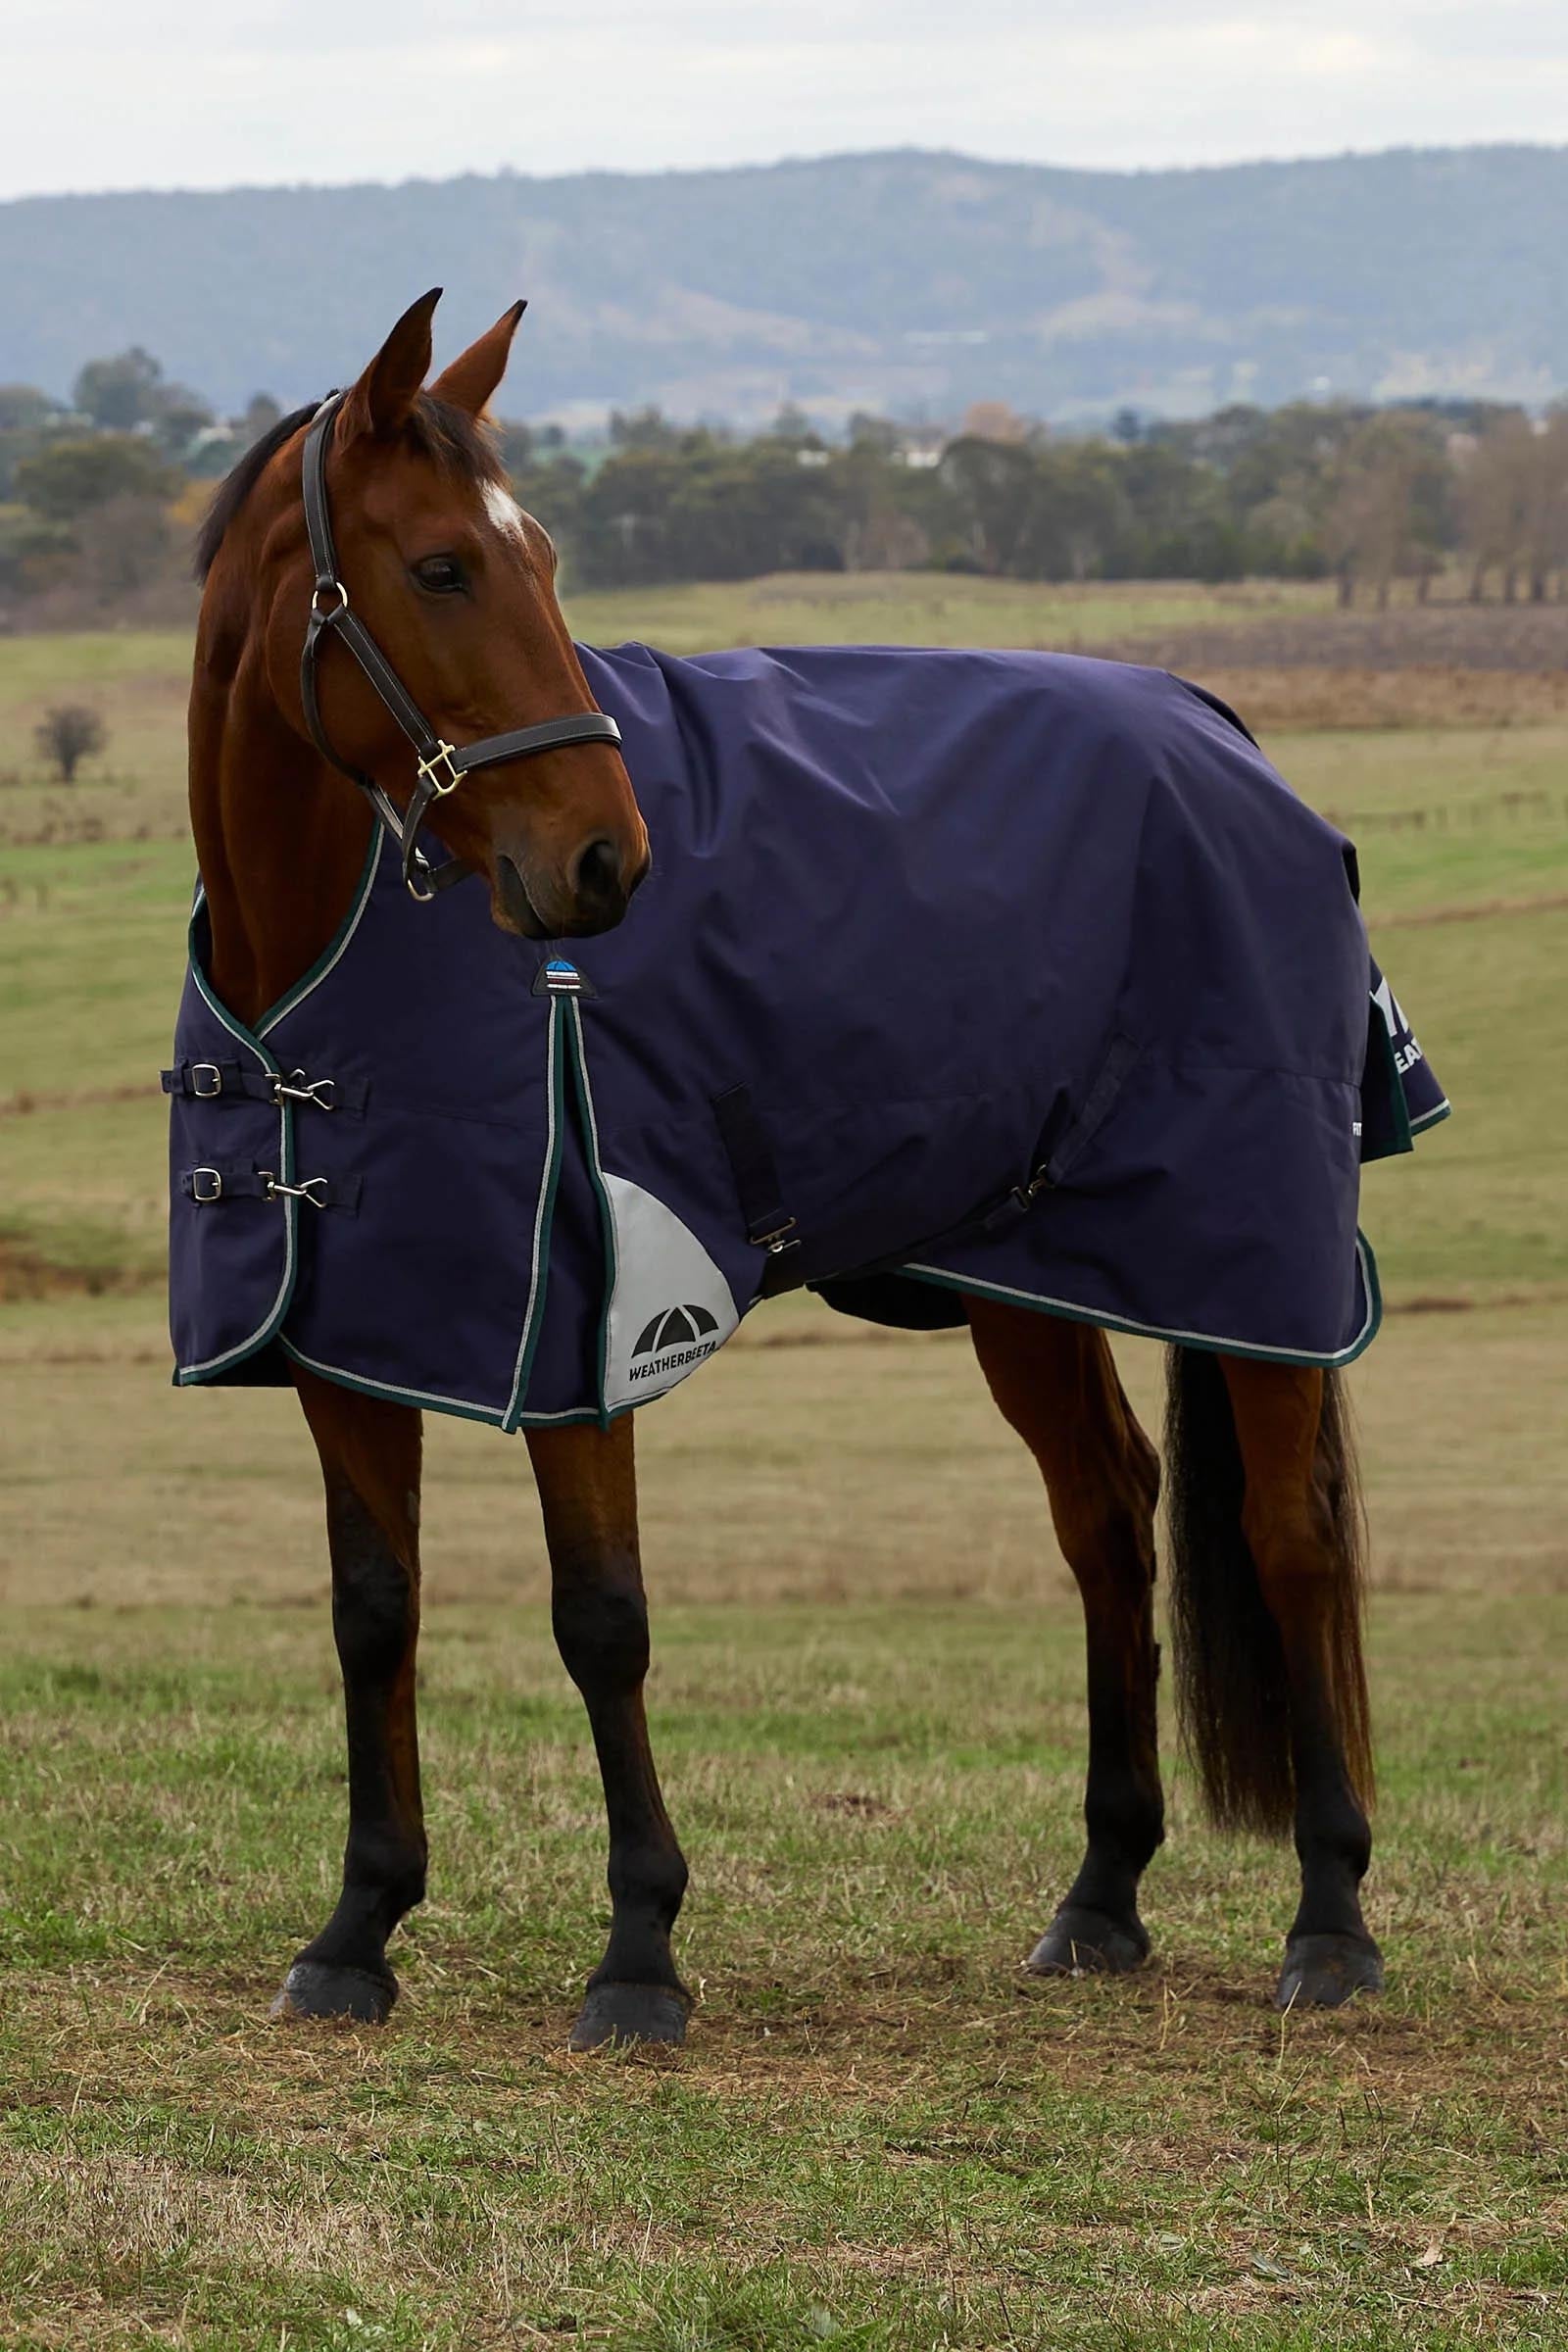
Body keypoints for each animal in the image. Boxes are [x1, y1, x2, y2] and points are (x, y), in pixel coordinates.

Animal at [183, 289, 1385, 2052]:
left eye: (544, 557)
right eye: (444, 567)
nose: (603, 859)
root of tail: (1223, 733)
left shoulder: (586, 1328)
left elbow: (600, 1618)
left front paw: (638, 1952)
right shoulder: (351, 1335)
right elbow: (373, 1609)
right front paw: (358, 1931)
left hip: (1247, 1257)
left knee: (1289, 1536)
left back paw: (1332, 1921)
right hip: (1030, 1275)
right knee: (1109, 1519)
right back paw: (1101, 1897)